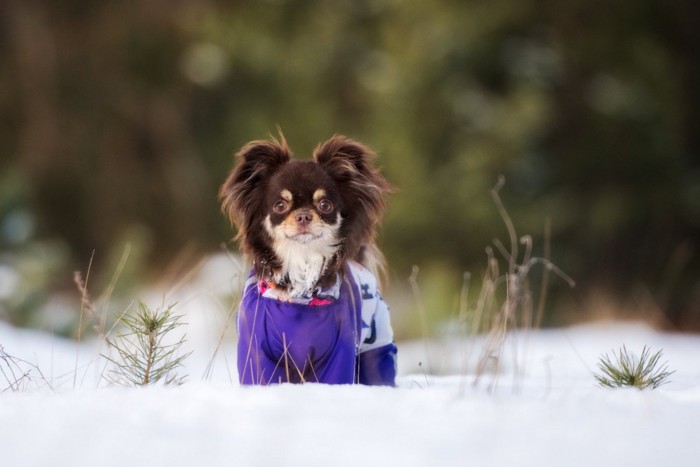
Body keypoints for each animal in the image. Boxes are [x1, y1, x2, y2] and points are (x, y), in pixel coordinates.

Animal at [221, 133, 400, 386]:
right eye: (280, 205)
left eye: (325, 205)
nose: (304, 215)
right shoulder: (257, 350)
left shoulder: (341, 350)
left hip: (376, 350)